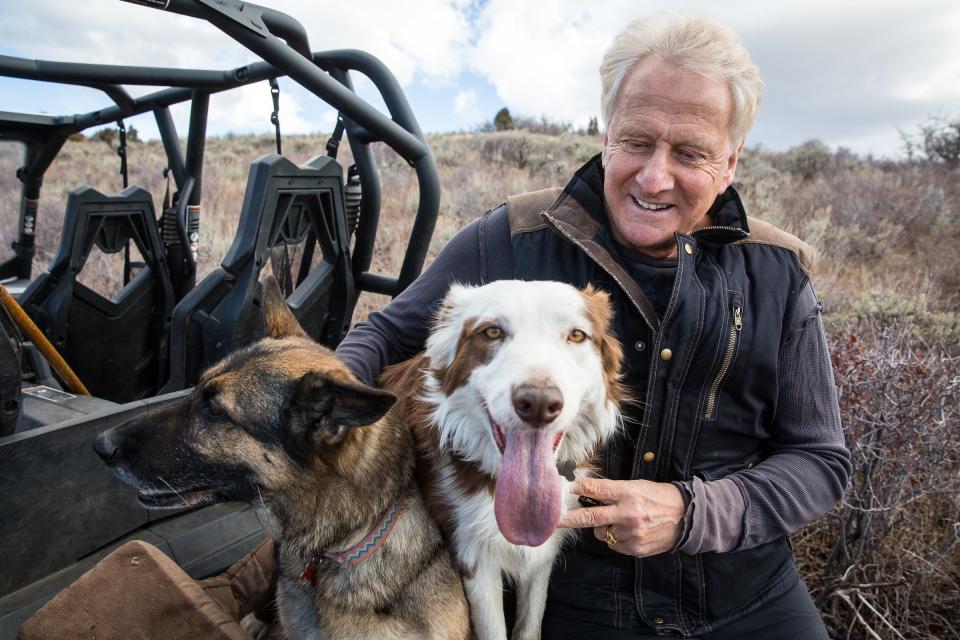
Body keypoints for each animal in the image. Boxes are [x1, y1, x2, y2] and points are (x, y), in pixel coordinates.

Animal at [382, 282, 624, 640]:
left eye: (577, 335)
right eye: (492, 331)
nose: (538, 403)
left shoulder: (543, 555)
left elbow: (530, 623)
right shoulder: (472, 552)